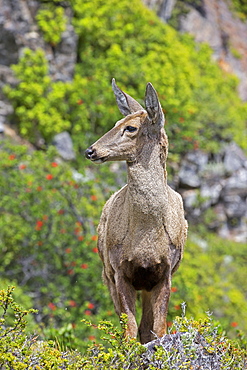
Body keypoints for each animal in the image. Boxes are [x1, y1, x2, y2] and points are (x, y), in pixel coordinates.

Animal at [85, 79, 187, 344]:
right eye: (115, 123)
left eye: (130, 128)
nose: (90, 151)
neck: (145, 237)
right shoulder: (119, 269)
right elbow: (129, 330)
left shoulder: (165, 271)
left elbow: (157, 328)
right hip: (106, 273)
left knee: (146, 326)